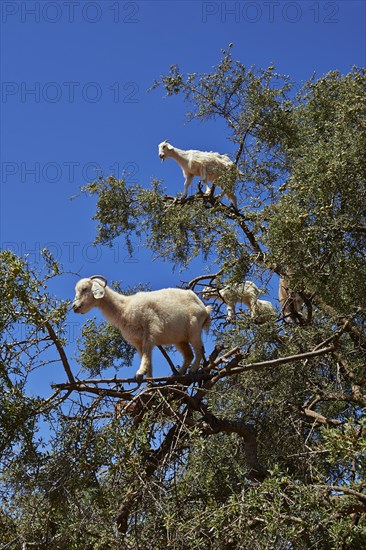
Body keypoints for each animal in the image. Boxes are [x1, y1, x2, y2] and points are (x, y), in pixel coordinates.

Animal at [73, 278, 212, 382]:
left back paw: (193, 370)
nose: (74, 306)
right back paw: (179, 373)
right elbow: (146, 357)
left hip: (194, 328)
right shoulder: (137, 340)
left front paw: (140, 372)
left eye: (84, 289)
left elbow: (146, 353)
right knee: (189, 355)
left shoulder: (150, 329)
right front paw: (149, 382)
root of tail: (204, 308)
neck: (124, 307)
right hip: (180, 338)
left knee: (199, 350)